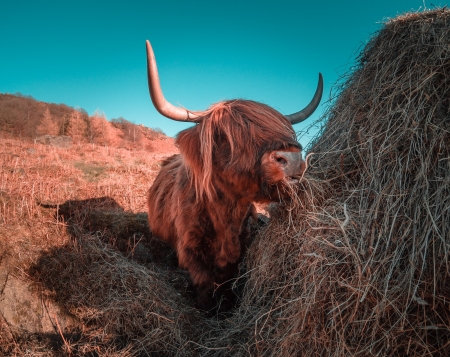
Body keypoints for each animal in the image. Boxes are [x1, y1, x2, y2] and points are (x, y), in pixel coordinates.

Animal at [146, 39, 322, 312]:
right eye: (226, 136)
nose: (291, 159)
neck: (226, 214)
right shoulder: (191, 251)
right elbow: (204, 285)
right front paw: (208, 310)